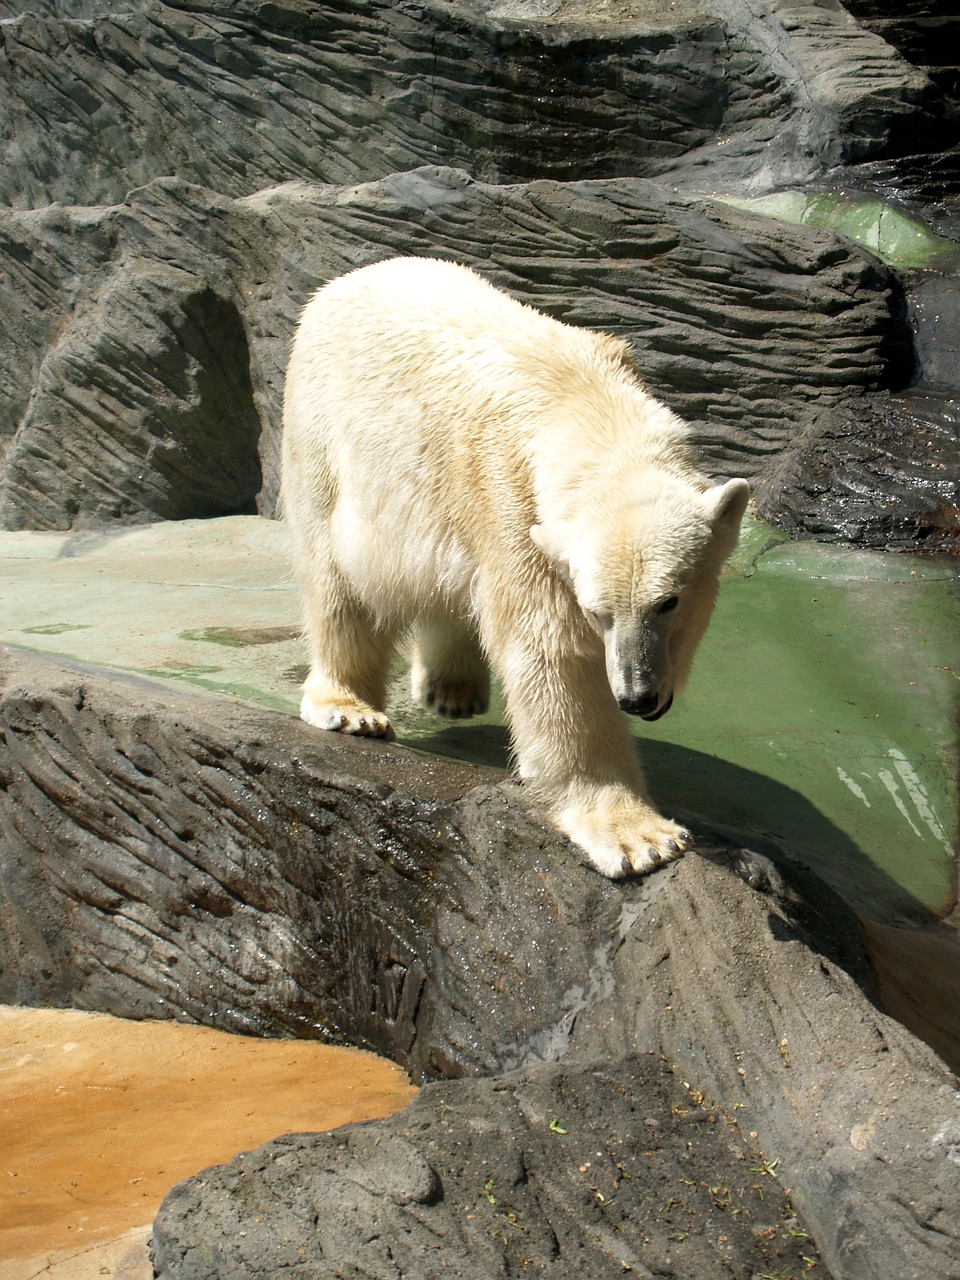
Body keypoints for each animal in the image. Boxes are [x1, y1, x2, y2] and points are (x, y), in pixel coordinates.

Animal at [280, 259, 752, 880]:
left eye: (668, 601)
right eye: (597, 612)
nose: (637, 697)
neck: (581, 398)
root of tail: (338, 284)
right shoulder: (510, 499)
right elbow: (550, 654)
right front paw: (640, 837)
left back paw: (452, 688)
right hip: (326, 440)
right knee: (337, 581)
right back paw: (350, 708)